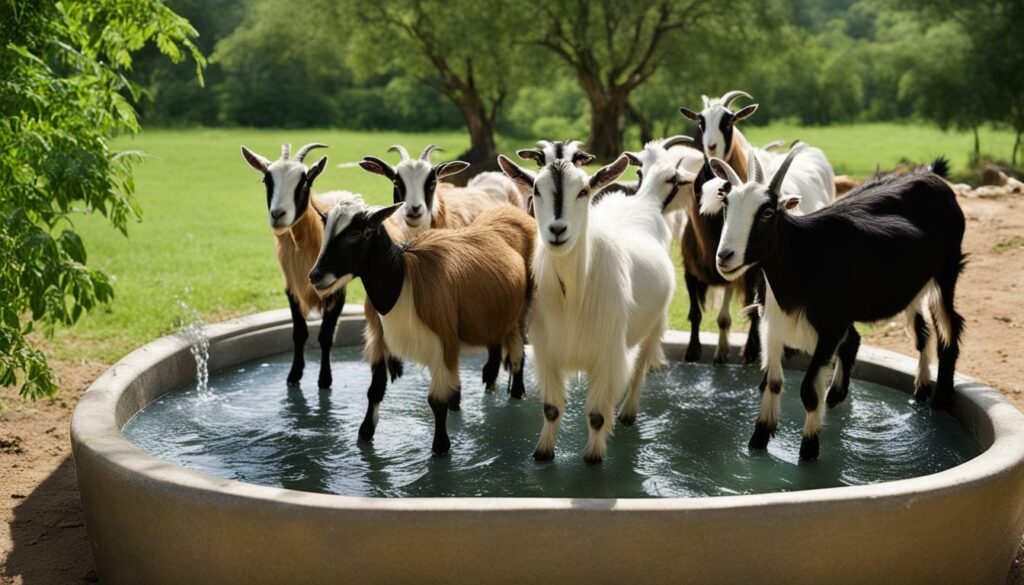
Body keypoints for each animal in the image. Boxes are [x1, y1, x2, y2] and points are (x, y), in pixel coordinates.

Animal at [240, 142, 356, 389]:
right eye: (266, 180)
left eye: (304, 182)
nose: (278, 214)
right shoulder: (291, 288)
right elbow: (299, 333)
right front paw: (294, 375)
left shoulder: (337, 292)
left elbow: (326, 335)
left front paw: (325, 380)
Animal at [309, 201, 535, 457]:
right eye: (325, 230)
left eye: (356, 233)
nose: (315, 276)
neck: (403, 278)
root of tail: (513, 211)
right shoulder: (379, 338)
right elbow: (375, 390)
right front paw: (365, 433)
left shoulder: (442, 342)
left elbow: (436, 401)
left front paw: (440, 448)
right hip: (493, 317)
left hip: (521, 311)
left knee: (517, 355)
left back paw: (517, 392)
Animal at [498, 154, 676, 464]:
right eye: (536, 190)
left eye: (583, 191)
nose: (557, 230)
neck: (573, 296)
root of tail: (643, 202)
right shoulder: (547, 352)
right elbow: (551, 409)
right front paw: (542, 451)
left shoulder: (608, 353)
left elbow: (596, 416)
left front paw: (593, 457)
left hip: (653, 323)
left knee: (639, 368)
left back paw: (627, 413)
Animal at [706, 146, 966, 461]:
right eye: (726, 203)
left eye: (767, 212)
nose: (725, 257)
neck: (800, 257)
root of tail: (932, 175)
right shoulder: (773, 324)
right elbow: (773, 382)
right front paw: (759, 439)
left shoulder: (829, 327)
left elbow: (807, 390)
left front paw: (809, 450)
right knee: (914, 331)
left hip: (946, 272)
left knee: (950, 327)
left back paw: (939, 400)